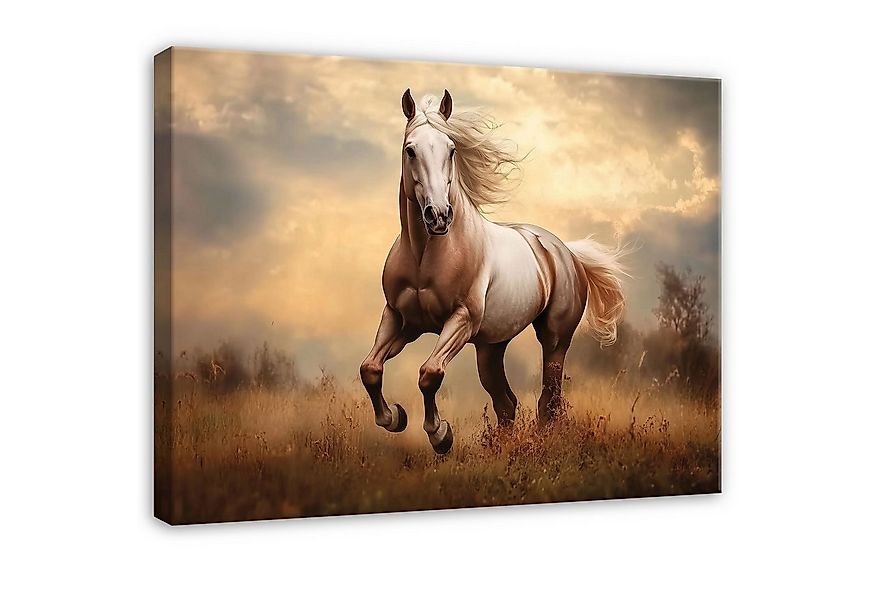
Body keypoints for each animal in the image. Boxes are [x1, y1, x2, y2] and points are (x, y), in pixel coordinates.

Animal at [360, 89, 628, 454]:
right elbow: (370, 368)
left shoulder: (461, 320)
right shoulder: (401, 318)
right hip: (490, 348)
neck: (426, 255)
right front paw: (395, 417)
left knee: (549, 399)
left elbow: (430, 373)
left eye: (452, 149)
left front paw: (440, 434)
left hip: (555, 338)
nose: (438, 215)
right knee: (506, 403)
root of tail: (566, 252)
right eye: (410, 149)